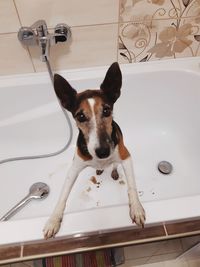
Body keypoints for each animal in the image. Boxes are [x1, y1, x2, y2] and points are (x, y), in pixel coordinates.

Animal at [43, 63, 145, 241]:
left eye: (106, 111)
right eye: (80, 116)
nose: (103, 152)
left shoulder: (126, 156)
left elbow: (132, 186)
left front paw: (136, 208)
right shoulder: (74, 168)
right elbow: (62, 195)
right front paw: (53, 220)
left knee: (114, 165)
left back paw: (113, 171)